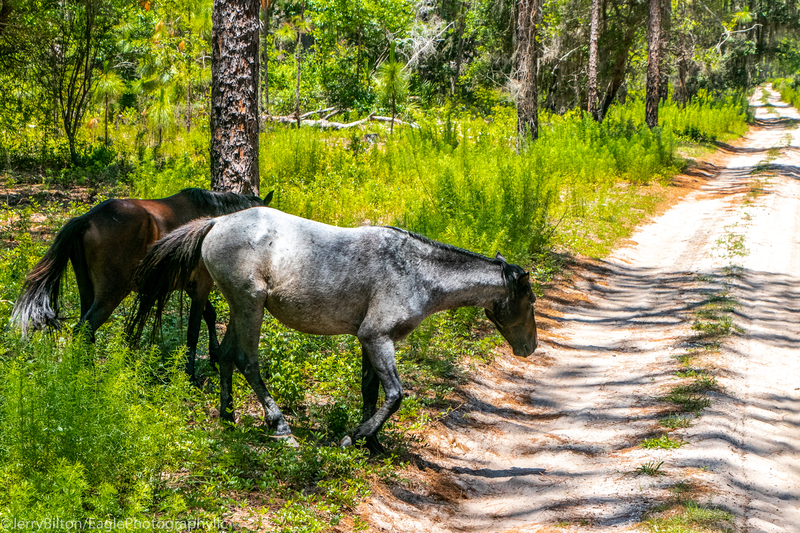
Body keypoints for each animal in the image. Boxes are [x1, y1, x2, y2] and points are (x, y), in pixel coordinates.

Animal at [11, 188, 271, 379]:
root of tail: (87, 219)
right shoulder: (201, 285)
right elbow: (194, 329)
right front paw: (190, 374)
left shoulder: (191, 286)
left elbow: (209, 315)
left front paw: (215, 356)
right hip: (110, 294)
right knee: (84, 329)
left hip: (88, 291)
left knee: (85, 330)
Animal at [127, 207, 538, 452]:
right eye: (531, 301)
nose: (530, 348)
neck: (417, 270)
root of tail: (216, 223)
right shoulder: (377, 338)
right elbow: (395, 395)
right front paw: (354, 438)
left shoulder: (370, 341)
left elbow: (371, 391)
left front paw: (373, 445)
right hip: (250, 305)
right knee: (247, 361)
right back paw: (279, 426)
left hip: (242, 307)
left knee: (227, 357)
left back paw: (228, 417)